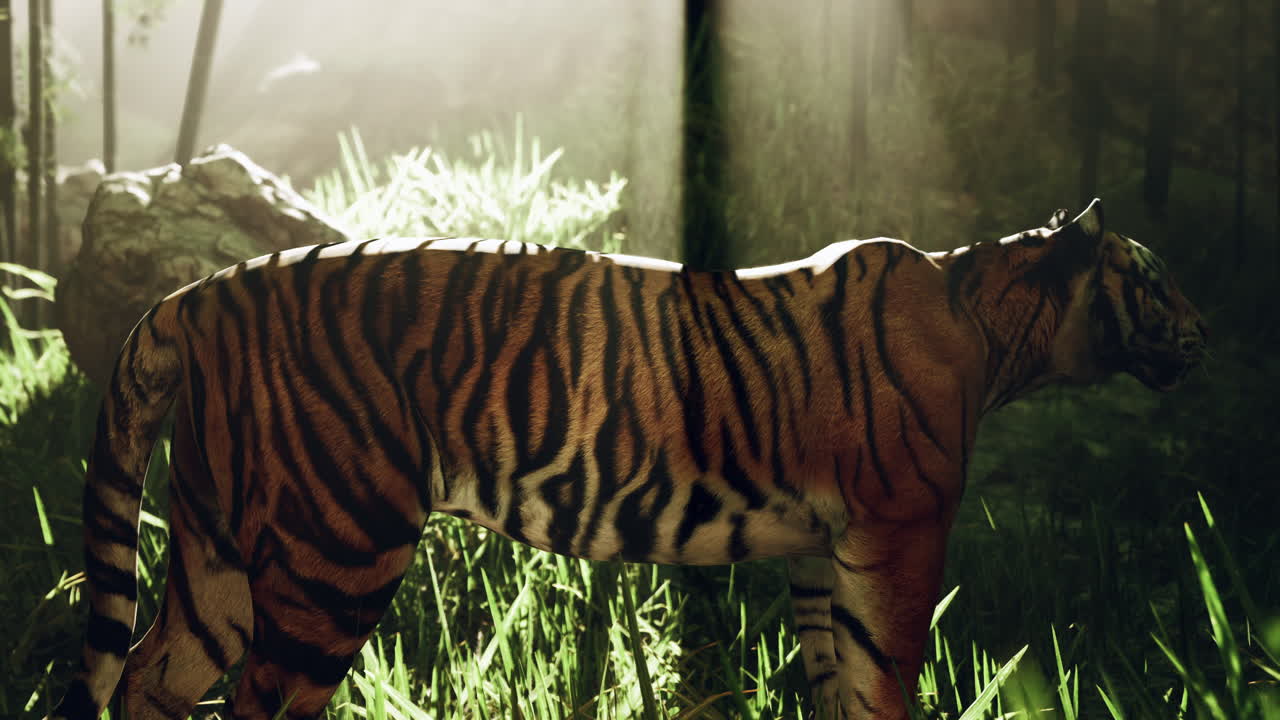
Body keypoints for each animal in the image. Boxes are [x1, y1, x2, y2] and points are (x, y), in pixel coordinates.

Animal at [47, 197, 1205, 719]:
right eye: (1151, 279)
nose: (1204, 329)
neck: (992, 322)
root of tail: (195, 295)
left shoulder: (821, 549)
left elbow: (835, 680)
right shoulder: (898, 530)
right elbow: (884, 678)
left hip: (220, 560)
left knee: (147, 674)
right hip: (335, 548)